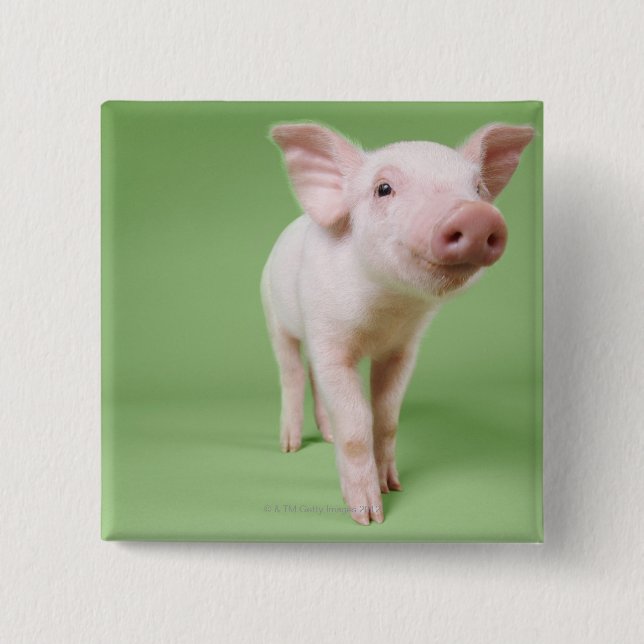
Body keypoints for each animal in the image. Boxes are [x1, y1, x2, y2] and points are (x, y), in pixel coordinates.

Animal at [260, 121, 534, 525]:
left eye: (478, 189)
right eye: (383, 188)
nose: (475, 214)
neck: (387, 310)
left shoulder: (403, 350)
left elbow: (387, 418)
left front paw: (394, 487)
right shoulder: (329, 339)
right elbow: (357, 423)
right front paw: (369, 517)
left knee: (311, 377)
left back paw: (327, 437)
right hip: (273, 314)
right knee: (292, 373)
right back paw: (291, 447)